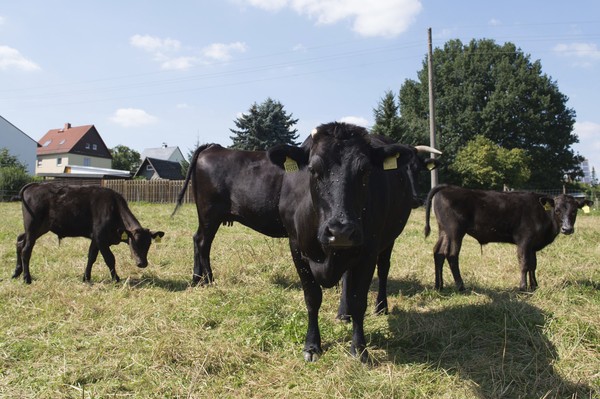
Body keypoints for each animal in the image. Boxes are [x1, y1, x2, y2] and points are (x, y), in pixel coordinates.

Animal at [13, 184, 164, 284]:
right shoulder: (101, 238)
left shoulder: (95, 238)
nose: (142, 263)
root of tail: (34, 186)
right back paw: (27, 278)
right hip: (33, 227)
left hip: (40, 228)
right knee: (26, 250)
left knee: (20, 241)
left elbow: (91, 257)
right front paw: (116, 279)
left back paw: (16, 273)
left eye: (149, 245)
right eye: (134, 244)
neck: (114, 209)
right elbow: (110, 258)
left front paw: (86, 277)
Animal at [268, 123, 422, 364]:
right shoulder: (296, 249)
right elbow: (312, 298)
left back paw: (381, 306)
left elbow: (359, 300)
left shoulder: (368, 252)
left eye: (365, 170)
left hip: (389, 239)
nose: (340, 231)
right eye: (313, 169)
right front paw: (312, 345)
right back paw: (343, 313)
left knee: (383, 270)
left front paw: (359, 348)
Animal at [424, 184, 592, 290]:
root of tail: (448, 187)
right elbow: (524, 263)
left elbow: (533, 265)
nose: (567, 229)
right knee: (452, 255)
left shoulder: (532, 245)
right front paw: (523, 287)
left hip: (444, 231)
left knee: (438, 252)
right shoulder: (524, 240)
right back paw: (460, 286)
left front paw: (534, 285)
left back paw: (439, 285)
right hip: (455, 231)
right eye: (557, 210)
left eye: (574, 211)